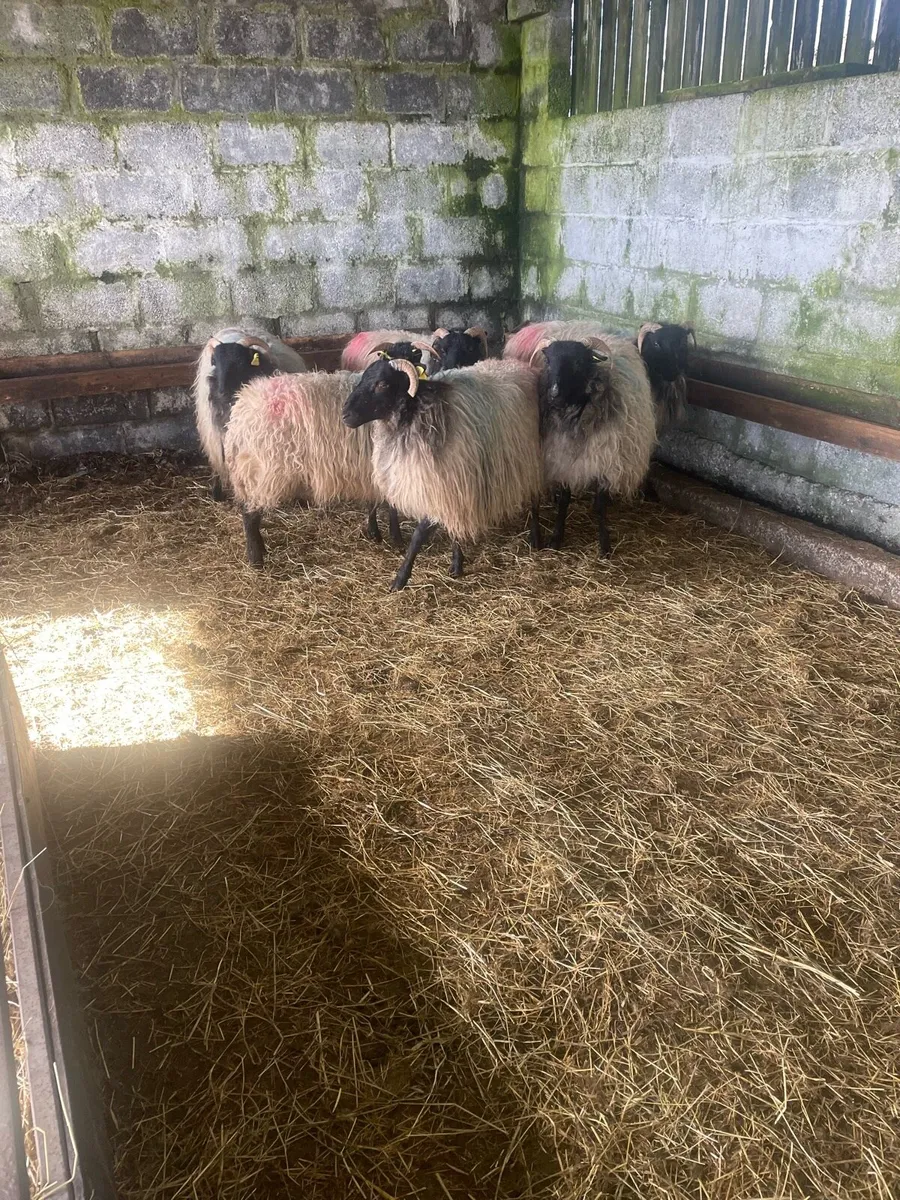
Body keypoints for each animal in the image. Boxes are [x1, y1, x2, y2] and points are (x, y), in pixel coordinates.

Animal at [224, 339, 437, 568]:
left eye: (415, 357)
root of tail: (241, 410)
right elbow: (391, 506)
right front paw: (395, 538)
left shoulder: (368, 468)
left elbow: (371, 502)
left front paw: (374, 533)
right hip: (262, 471)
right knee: (250, 514)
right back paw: (256, 559)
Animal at [342, 355, 543, 591]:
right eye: (363, 377)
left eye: (382, 384)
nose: (345, 415)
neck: (417, 415)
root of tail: (518, 364)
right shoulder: (448, 485)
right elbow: (451, 529)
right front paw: (457, 564)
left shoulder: (448, 484)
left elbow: (418, 536)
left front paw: (400, 579)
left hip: (532, 460)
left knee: (535, 499)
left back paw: (536, 538)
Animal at [529, 334, 657, 556]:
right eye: (548, 360)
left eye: (579, 362)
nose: (554, 394)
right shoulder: (563, 457)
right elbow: (564, 500)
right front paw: (556, 537)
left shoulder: (605, 458)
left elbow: (600, 505)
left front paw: (604, 543)